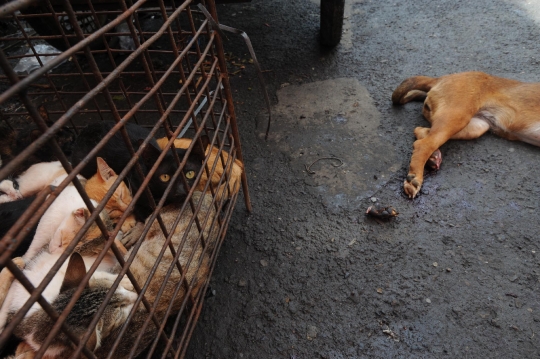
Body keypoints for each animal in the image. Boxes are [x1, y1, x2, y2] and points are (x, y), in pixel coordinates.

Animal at [392, 71, 540, 198]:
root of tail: (442, 78)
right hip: (456, 116)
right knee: (423, 144)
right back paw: (415, 178)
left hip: (476, 127)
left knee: (421, 131)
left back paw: (433, 157)